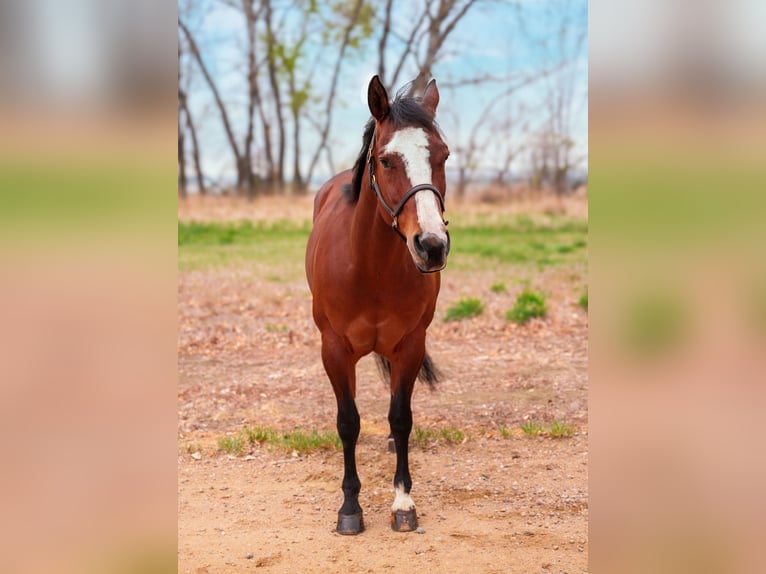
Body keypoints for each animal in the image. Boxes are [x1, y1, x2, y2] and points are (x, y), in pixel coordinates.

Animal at [305, 75, 450, 535]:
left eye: (443, 155)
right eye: (386, 161)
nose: (432, 246)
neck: (370, 268)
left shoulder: (410, 346)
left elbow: (401, 417)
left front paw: (403, 502)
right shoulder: (334, 350)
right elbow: (348, 422)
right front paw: (350, 507)